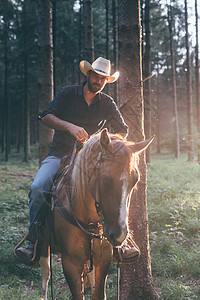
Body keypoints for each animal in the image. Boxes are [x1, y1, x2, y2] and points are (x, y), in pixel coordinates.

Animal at [38, 129, 153, 300]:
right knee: (46, 275)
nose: (119, 235)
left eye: (135, 180)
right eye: (105, 179)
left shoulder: (104, 257)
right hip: (44, 247)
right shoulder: (70, 263)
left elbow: (98, 292)